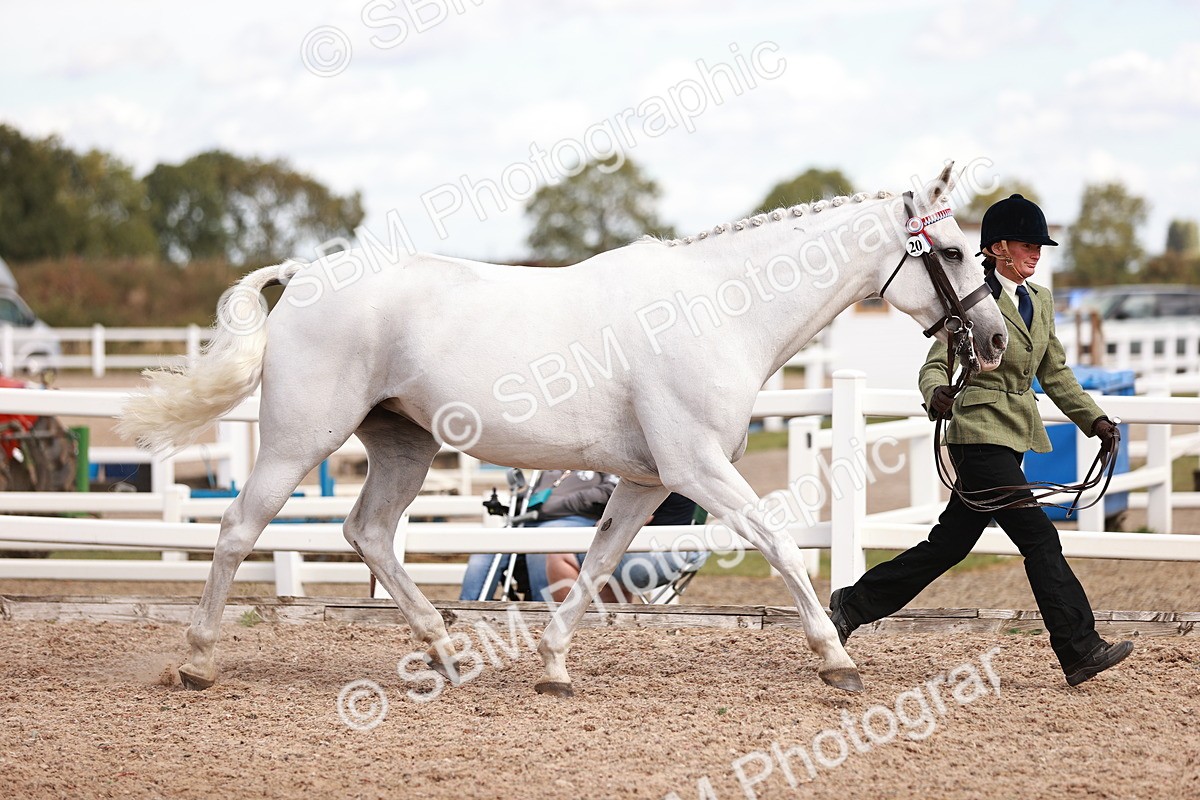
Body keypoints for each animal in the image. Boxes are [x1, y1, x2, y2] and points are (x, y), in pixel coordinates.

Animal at [118, 162, 1008, 696]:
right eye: (950, 251)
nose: (997, 340)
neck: (718, 310)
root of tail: (305, 275)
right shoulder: (697, 468)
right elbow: (783, 546)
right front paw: (837, 660)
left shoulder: (646, 482)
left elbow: (598, 564)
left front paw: (552, 667)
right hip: (298, 439)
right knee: (239, 528)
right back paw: (198, 661)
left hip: (405, 446)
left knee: (367, 532)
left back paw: (445, 652)